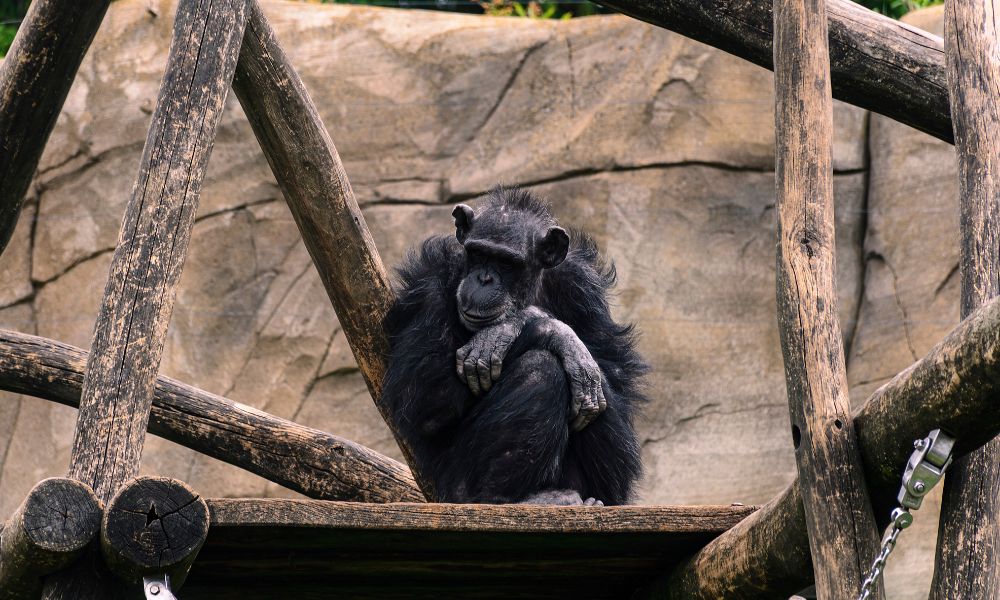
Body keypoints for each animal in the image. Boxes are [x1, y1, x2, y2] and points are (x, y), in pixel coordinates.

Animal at [378, 188, 644, 506]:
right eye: (478, 254)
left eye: (506, 262)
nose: (484, 279)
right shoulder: (432, 281)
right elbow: (425, 397)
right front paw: (544, 329)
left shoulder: (582, 286)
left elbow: (616, 375)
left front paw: (504, 331)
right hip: (453, 488)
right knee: (541, 369)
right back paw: (509, 499)